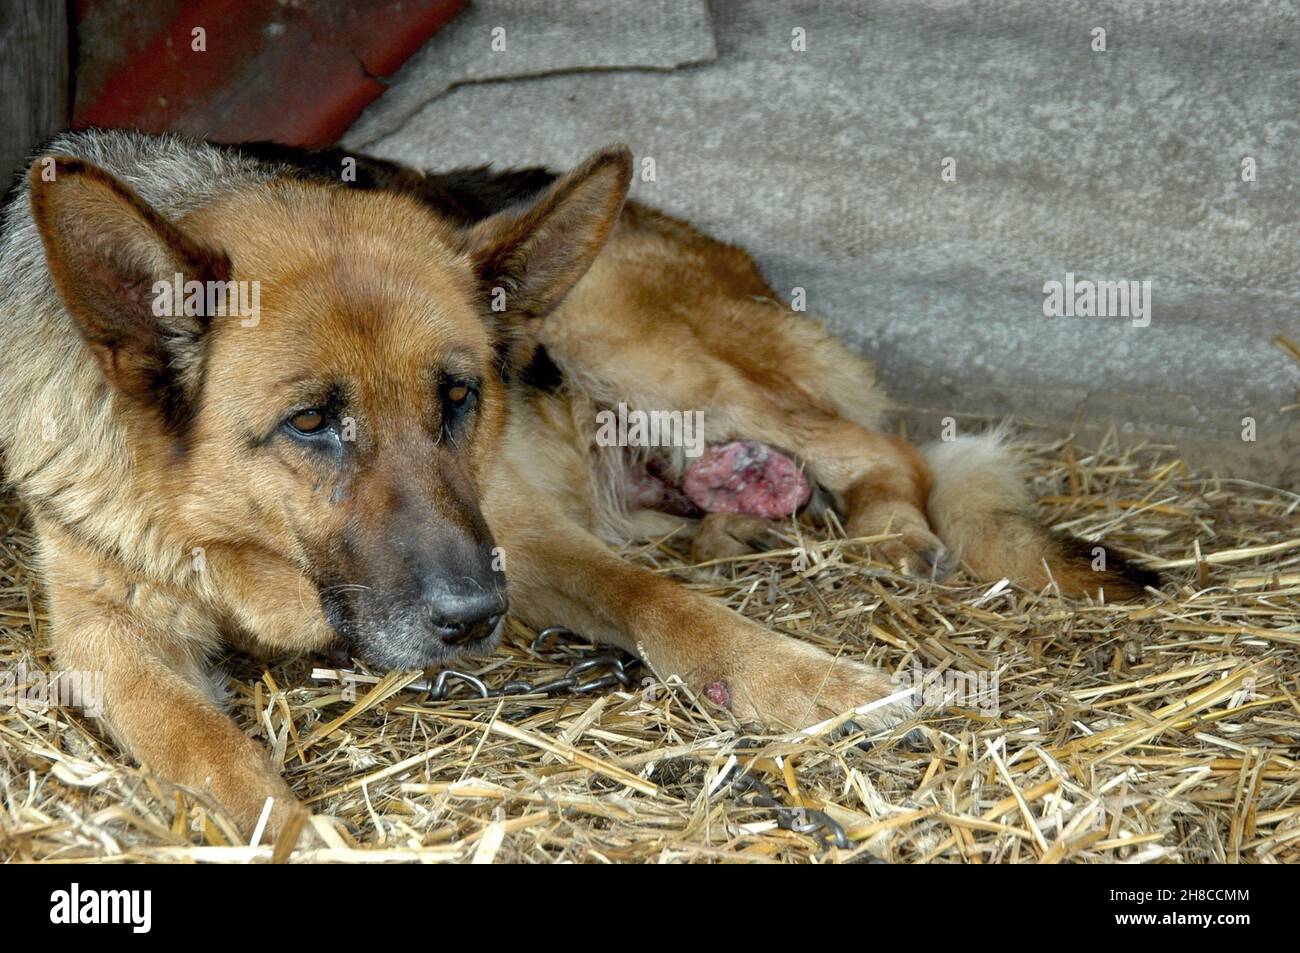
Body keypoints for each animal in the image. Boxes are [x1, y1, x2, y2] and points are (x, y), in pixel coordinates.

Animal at [0, 131, 1159, 832]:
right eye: (311, 423)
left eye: (459, 397)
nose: (475, 616)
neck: (245, 546)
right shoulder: (110, 642)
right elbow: (213, 758)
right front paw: (296, 830)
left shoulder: (514, 532)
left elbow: (671, 607)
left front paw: (812, 682)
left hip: (643, 347)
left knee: (896, 457)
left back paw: (891, 536)